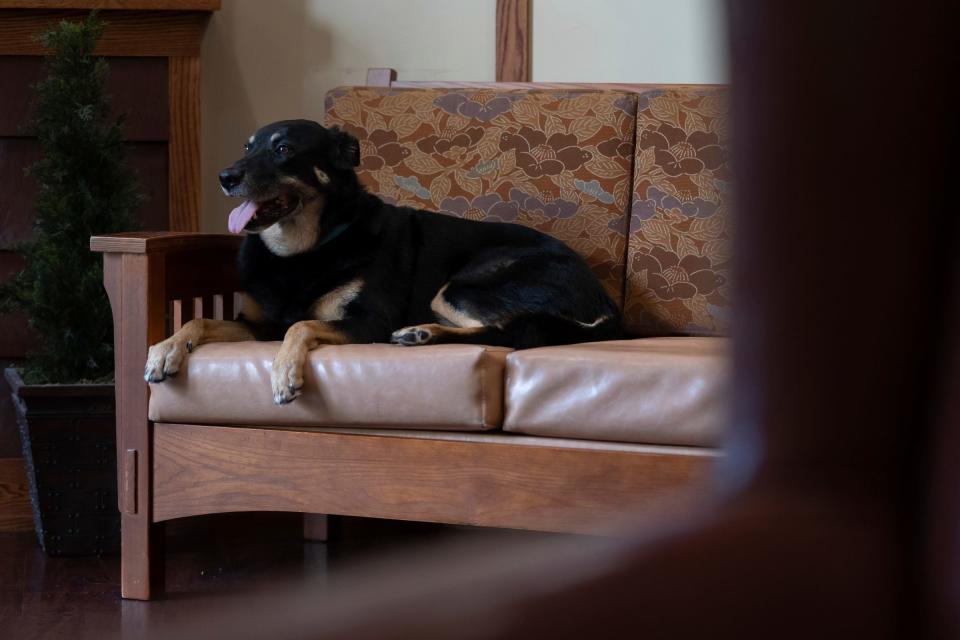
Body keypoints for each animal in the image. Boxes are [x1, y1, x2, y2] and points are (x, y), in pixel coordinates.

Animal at [144, 120, 624, 402]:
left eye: (283, 149)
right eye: (247, 147)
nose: (225, 177)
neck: (305, 248)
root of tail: (604, 299)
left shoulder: (368, 321)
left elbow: (302, 325)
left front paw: (284, 372)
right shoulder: (259, 323)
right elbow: (199, 320)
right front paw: (165, 351)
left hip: (462, 287)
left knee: (505, 332)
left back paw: (421, 333)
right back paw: (423, 334)